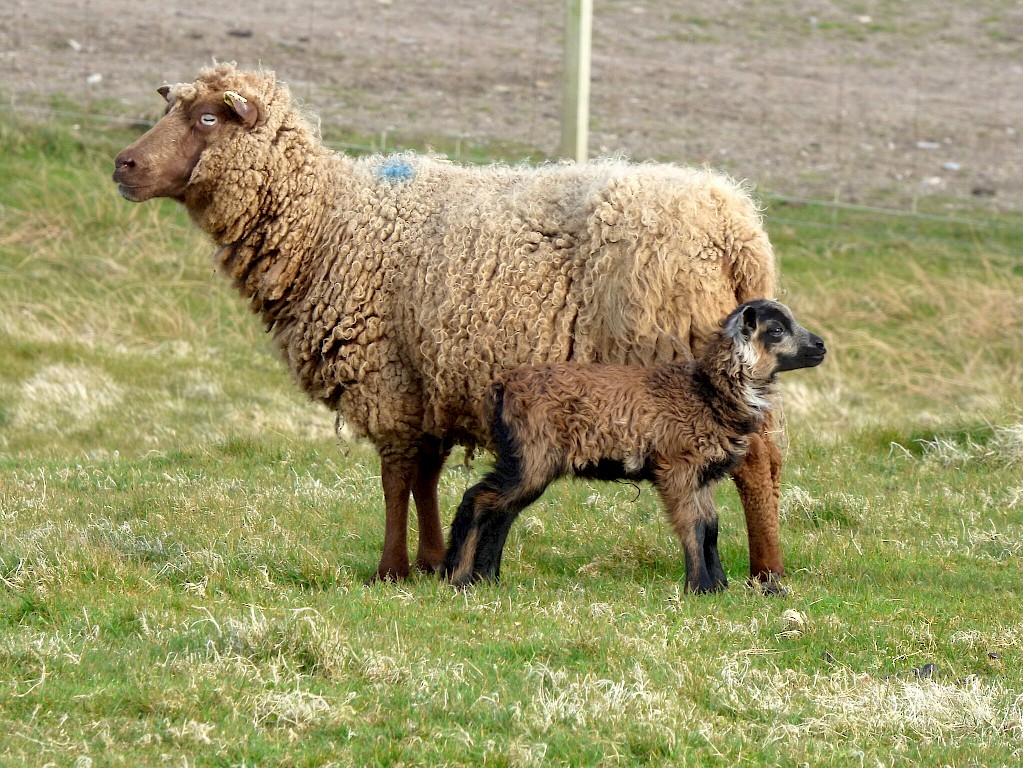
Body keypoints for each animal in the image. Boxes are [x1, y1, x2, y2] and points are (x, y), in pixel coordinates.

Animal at [112, 63, 787, 584]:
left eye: (207, 119)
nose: (124, 166)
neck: (326, 225)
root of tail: (736, 227)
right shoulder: (427, 381)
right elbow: (425, 477)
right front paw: (433, 561)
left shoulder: (383, 375)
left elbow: (395, 479)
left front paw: (390, 569)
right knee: (765, 458)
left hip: (683, 360)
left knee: (755, 462)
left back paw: (766, 574)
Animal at [444, 300, 826, 592]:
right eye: (776, 330)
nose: (821, 346)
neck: (706, 392)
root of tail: (502, 387)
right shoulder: (676, 467)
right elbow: (692, 525)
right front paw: (699, 587)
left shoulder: (703, 475)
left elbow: (711, 527)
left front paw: (719, 586)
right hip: (529, 456)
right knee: (480, 499)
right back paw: (459, 577)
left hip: (526, 461)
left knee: (502, 510)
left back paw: (488, 577)